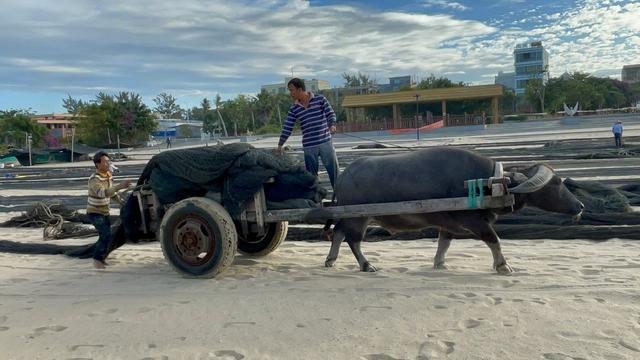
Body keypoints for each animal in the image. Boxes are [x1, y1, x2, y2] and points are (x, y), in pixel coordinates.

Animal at [324, 146, 584, 272]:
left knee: (338, 232)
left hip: (353, 217)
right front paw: (503, 266)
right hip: (359, 218)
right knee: (353, 240)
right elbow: (495, 240)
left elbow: (444, 243)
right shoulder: (475, 222)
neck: (489, 183)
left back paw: (330, 260)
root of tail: (343, 177)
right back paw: (366, 265)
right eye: (556, 183)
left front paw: (440, 263)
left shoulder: (447, 224)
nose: (580, 206)